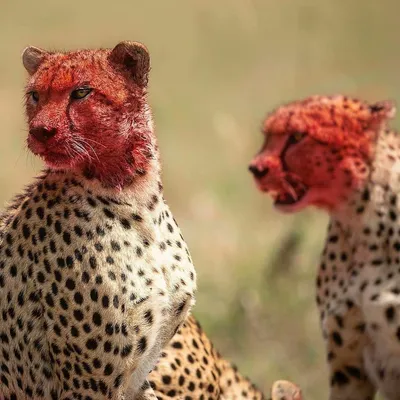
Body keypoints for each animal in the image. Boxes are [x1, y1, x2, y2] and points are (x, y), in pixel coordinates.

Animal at [0, 41, 195, 400]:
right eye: (35, 95)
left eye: (81, 92)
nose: (40, 131)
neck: (135, 193)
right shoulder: (88, 384)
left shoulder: (137, 375)